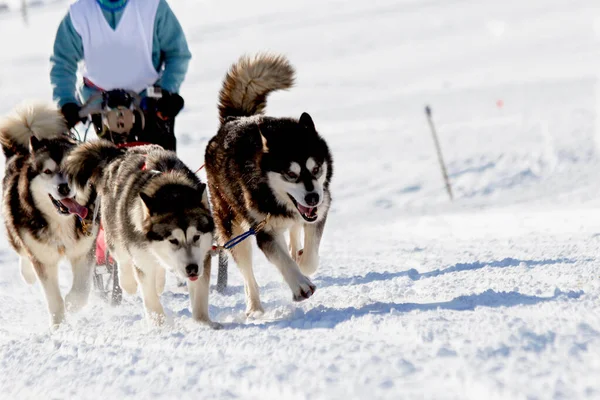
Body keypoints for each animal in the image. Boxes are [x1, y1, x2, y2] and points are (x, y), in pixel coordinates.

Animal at [0, 102, 98, 328]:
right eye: (47, 171)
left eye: (71, 170)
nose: (64, 187)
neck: (62, 222)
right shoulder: (43, 259)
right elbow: (54, 299)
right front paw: (59, 327)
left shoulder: (84, 250)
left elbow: (81, 292)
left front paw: (71, 304)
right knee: (22, 252)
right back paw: (27, 273)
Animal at [63, 141, 218, 328]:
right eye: (173, 240)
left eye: (196, 237)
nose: (192, 268)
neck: (169, 186)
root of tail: (116, 154)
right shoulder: (141, 257)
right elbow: (149, 295)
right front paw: (159, 323)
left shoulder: (203, 257)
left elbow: (200, 293)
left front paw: (204, 322)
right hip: (114, 229)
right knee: (122, 259)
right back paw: (127, 282)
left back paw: (159, 281)